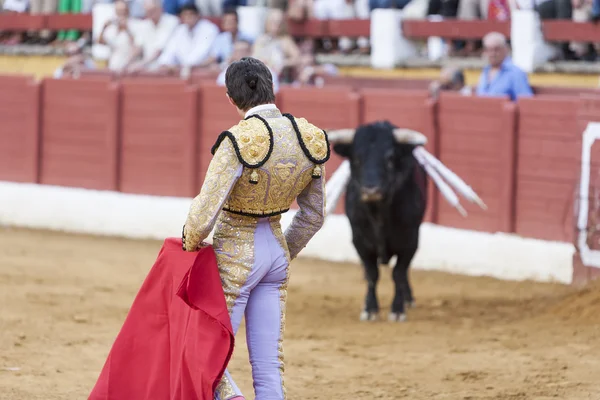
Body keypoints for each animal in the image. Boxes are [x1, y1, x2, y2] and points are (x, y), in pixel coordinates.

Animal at [328, 121, 426, 322]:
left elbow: (399, 273)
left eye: (390, 157)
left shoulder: (410, 241)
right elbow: (372, 273)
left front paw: (397, 309)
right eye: (356, 158)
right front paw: (370, 308)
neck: (378, 212)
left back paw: (408, 299)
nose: (371, 190)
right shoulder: (359, 241)